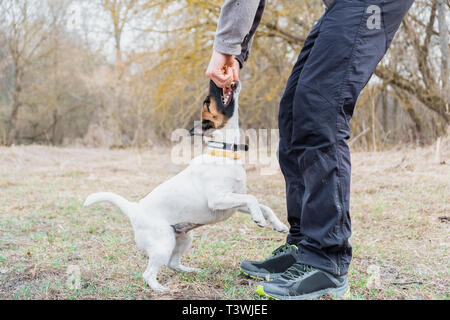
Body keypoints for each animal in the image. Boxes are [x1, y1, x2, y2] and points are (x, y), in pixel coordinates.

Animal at [84, 81, 288, 292]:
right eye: (207, 102)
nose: (216, 83)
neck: (223, 153)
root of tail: (134, 209)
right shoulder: (218, 200)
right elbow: (253, 199)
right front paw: (259, 219)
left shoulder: (235, 203)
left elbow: (264, 206)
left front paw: (278, 225)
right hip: (164, 243)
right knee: (148, 273)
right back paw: (161, 289)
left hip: (184, 238)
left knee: (172, 263)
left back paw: (191, 271)